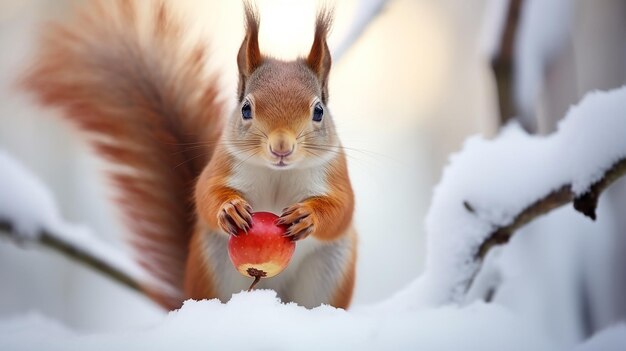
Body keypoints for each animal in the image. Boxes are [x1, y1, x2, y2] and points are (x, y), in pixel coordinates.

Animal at [22, 0, 356, 310]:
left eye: (318, 111)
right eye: (246, 109)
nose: (281, 147)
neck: (277, 173)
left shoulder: (334, 172)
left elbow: (342, 209)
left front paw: (306, 215)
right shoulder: (222, 164)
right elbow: (205, 193)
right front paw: (230, 209)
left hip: (329, 270)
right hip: (212, 267)